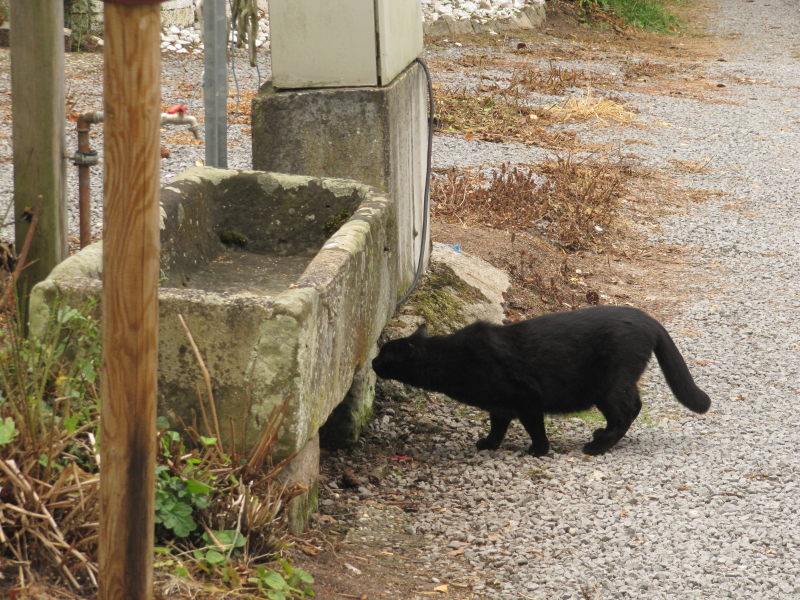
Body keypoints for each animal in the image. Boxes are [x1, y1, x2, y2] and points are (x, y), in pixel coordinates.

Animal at [372, 304, 708, 454]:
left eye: (385, 355)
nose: (373, 362)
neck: (452, 358)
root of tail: (647, 318)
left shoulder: (527, 397)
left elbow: (535, 426)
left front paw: (539, 450)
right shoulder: (500, 405)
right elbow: (497, 425)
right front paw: (490, 444)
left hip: (608, 384)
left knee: (628, 410)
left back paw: (598, 446)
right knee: (629, 409)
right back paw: (601, 437)